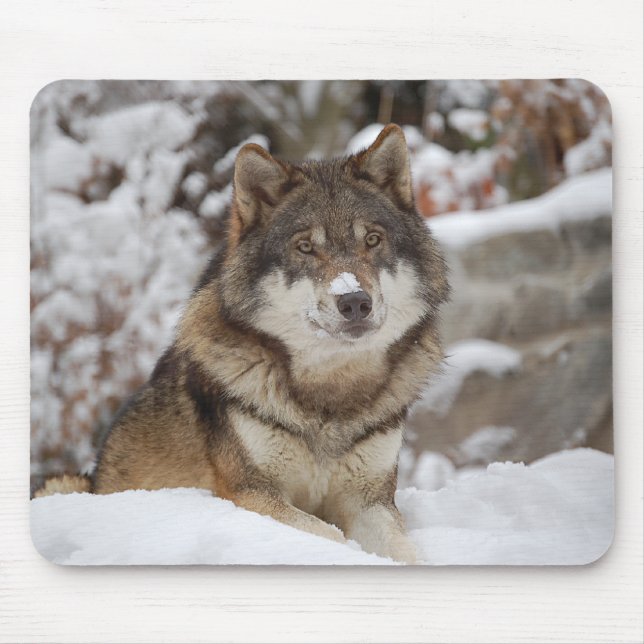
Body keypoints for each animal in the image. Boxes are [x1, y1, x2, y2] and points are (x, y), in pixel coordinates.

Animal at [36, 124, 449, 563]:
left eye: (372, 240)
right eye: (305, 247)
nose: (354, 301)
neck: (329, 397)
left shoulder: (370, 501)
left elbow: (409, 554)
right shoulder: (249, 493)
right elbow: (331, 536)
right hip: (62, 484)